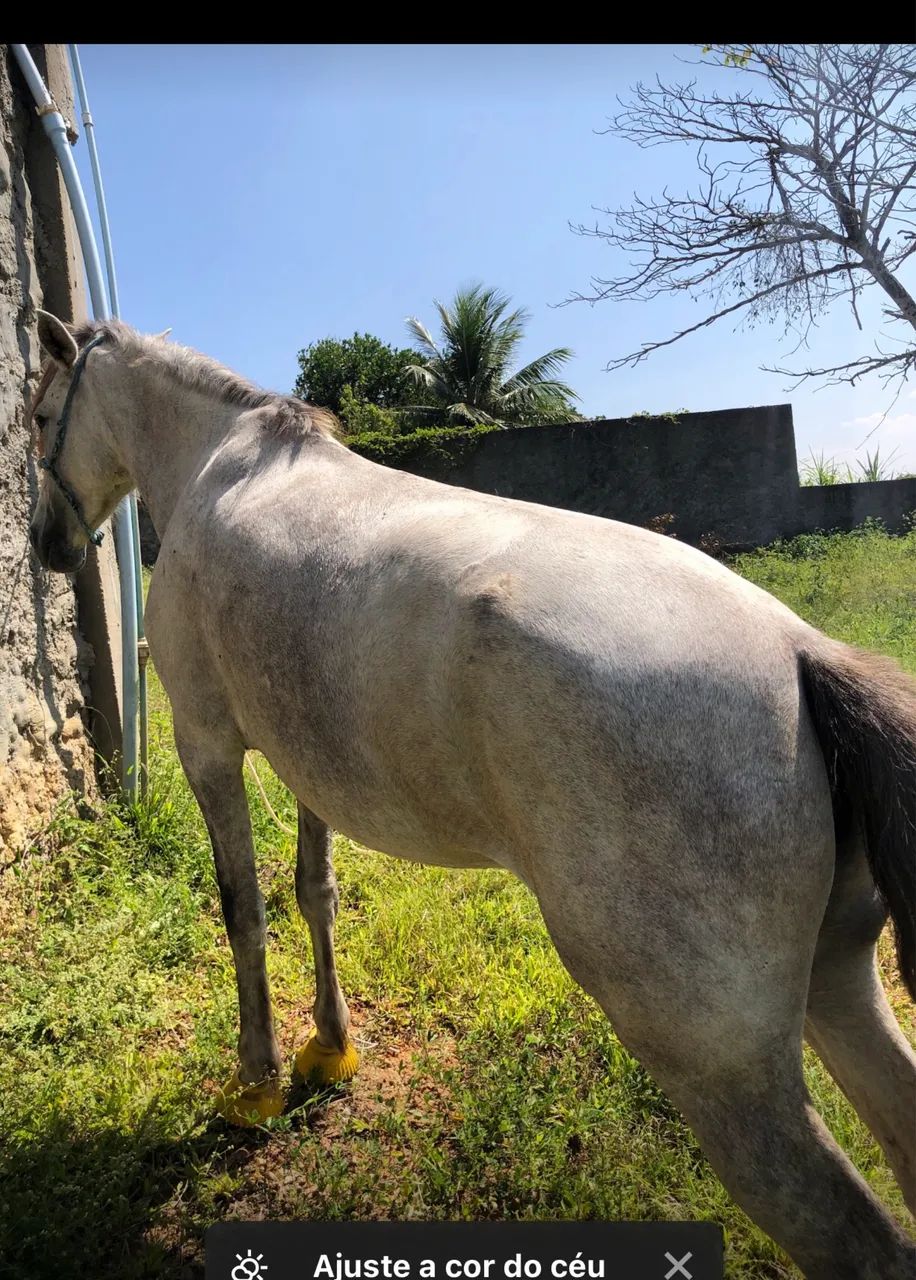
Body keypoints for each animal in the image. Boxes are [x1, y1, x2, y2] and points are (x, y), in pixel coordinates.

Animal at [27, 311, 915, 1279]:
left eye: (35, 418)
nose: (44, 546)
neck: (216, 465)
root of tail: (799, 652)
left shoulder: (208, 746)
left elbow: (243, 913)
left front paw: (256, 1082)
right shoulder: (308, 759)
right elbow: (314, 894)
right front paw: (328, 1049)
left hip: (721, 1065)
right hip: (840, 980)